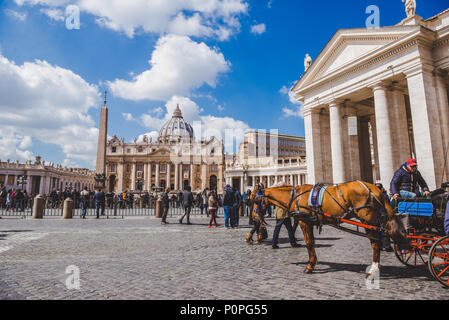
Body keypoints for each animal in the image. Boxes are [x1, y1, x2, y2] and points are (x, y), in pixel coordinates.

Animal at [248, 182, 410, 278]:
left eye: (255, 200)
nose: (254, 217)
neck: (294, 197)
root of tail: (376, 189)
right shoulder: (310, 222)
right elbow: (312, 243)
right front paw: (313, 263)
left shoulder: (304, 221)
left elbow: (309, 243)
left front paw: (309, 266)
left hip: (368, 220)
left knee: (375, 244)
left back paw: (373, 270)